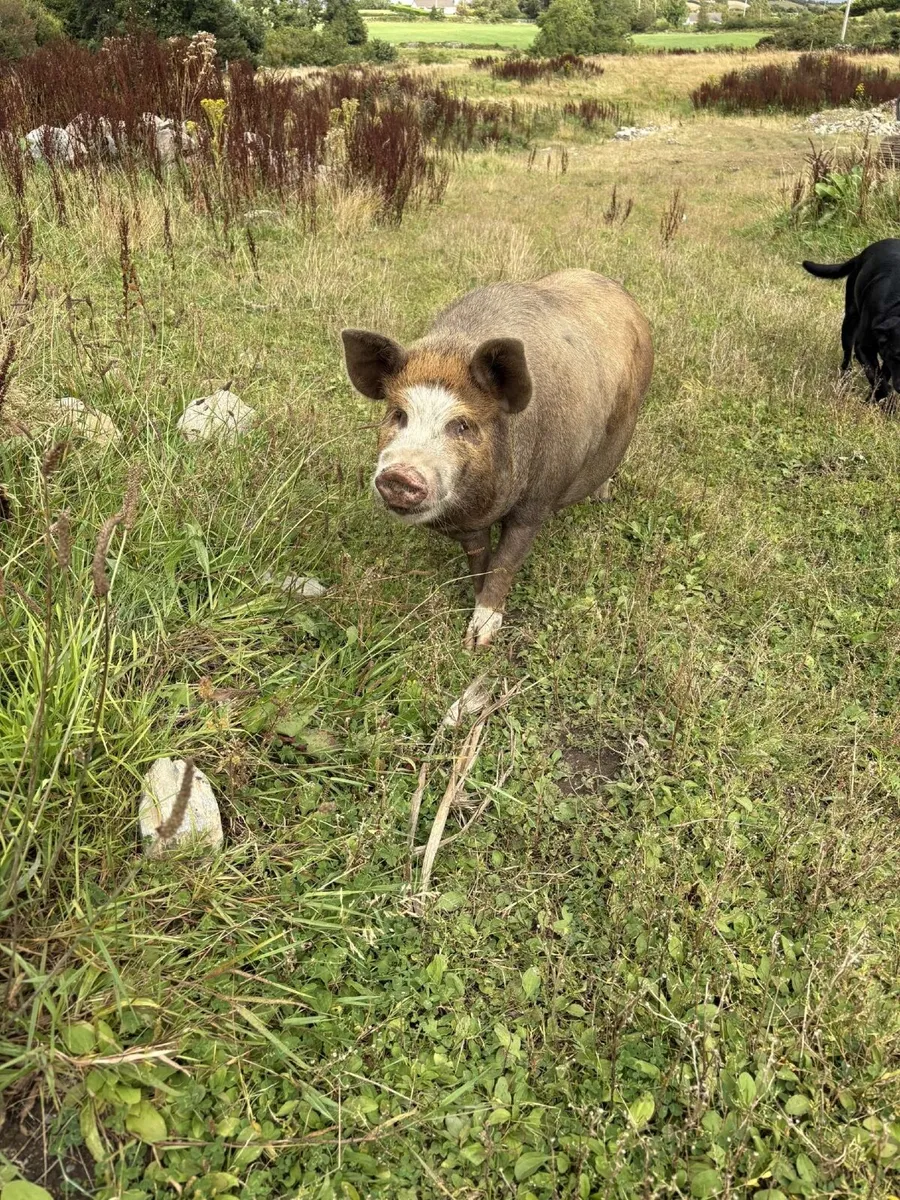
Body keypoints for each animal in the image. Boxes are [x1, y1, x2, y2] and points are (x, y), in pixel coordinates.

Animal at [341, 268, 653, 650]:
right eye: (399, 415)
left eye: (462, 425)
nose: (399, 474)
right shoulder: (470, 523)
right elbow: (480, 561)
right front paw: (472, 623)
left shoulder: (536, 503)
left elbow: (506, 562)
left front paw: (479, 642)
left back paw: (602, 500)